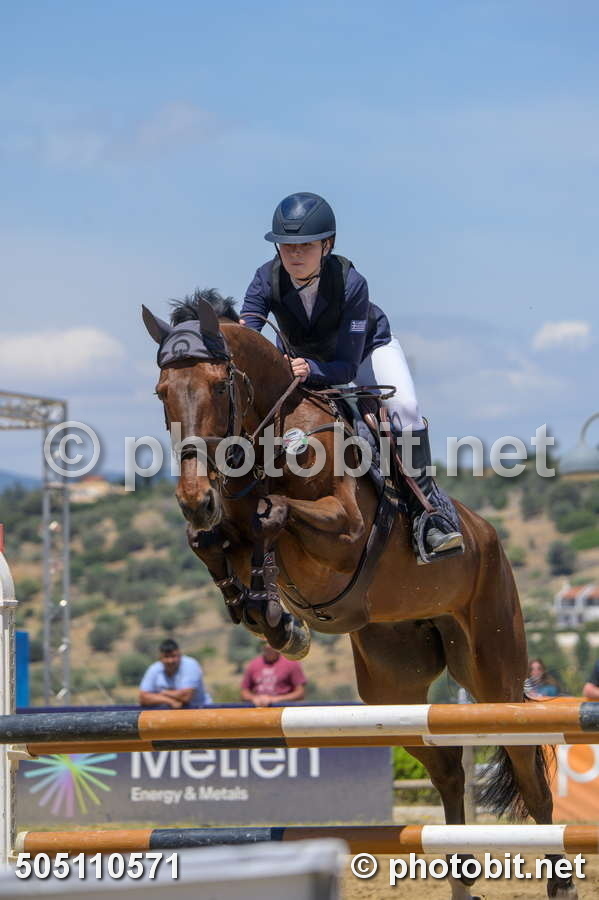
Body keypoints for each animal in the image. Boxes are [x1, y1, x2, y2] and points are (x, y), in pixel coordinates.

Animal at [143, 289, 576, 900]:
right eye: (163, 392)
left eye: (219, 387)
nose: (193, 497)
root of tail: (489, 536)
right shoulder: (227, 528)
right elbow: (211, 540)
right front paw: (268, 614)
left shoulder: (345, 532)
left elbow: (274, 513)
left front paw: (278, 618)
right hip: (391, 691)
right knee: (448, 771)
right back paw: (460, 875)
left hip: (496, 674)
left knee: (530, 776)